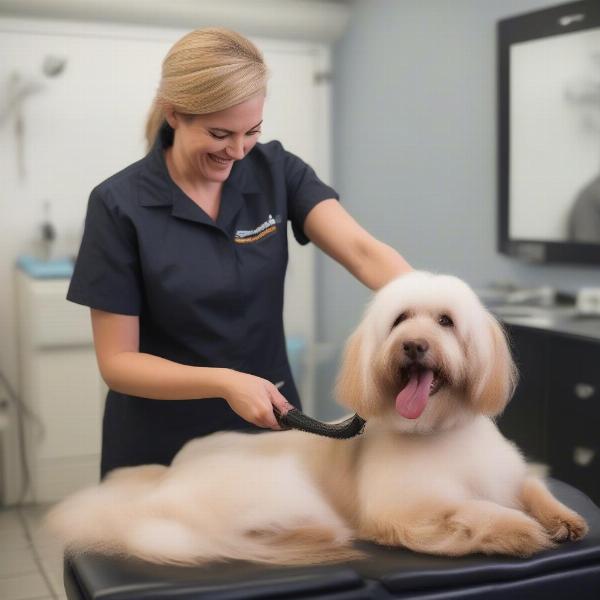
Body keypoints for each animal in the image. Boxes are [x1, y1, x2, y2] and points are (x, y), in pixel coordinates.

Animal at [44, 272, 588, 568]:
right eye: (400, 320)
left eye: (446, 322)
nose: (413, 345)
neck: (439, 431)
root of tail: (161, 487)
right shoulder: (405, 507)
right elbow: (477, 510)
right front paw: (518, 530)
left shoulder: (507, 472)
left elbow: (531, 487)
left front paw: (563, 518)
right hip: (277, 489)